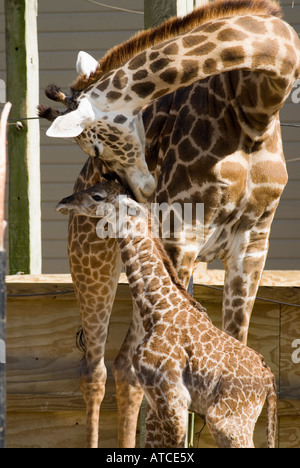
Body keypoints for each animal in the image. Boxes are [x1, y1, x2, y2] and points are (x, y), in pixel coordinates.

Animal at [56, 181, 276, 448]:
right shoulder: (156, 397)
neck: (158, 309)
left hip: (227, 420)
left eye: (97, 196)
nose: (63, 202)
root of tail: (268, 381)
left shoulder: (172, 398)